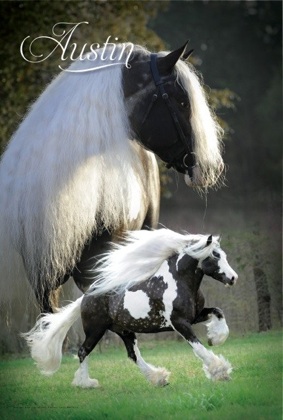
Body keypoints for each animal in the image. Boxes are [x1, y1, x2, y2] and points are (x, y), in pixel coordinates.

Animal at [23, 228, 239, 388]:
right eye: (215, 256)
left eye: (223, 255)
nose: (233, 278)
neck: (179, 281)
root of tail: (87, 296)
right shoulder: (180, 323)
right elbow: (198, 346)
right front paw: (220, 371)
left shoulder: (195, 316)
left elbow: (218, 312)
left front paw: (215, 338)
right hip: (95, 330)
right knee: (83, 351)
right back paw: (87, 384)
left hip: (125, 331)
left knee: (133, 355)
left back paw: (159, 378)